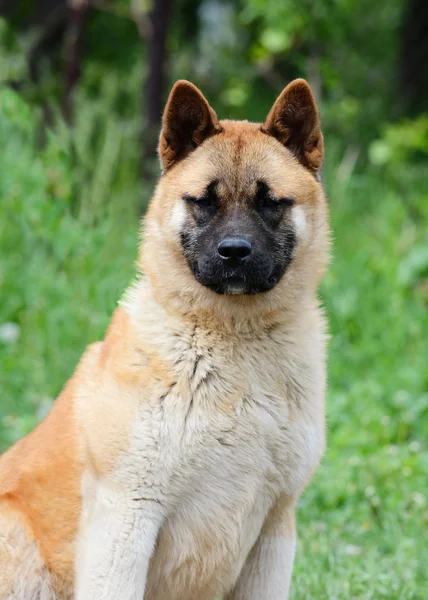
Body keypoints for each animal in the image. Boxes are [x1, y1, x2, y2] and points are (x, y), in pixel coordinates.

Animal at [0, 79, 330, 600]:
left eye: (270, 202)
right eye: (204, 201)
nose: (234, 252)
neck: (233, 345)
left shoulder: (274, 530)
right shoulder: (126, 517)